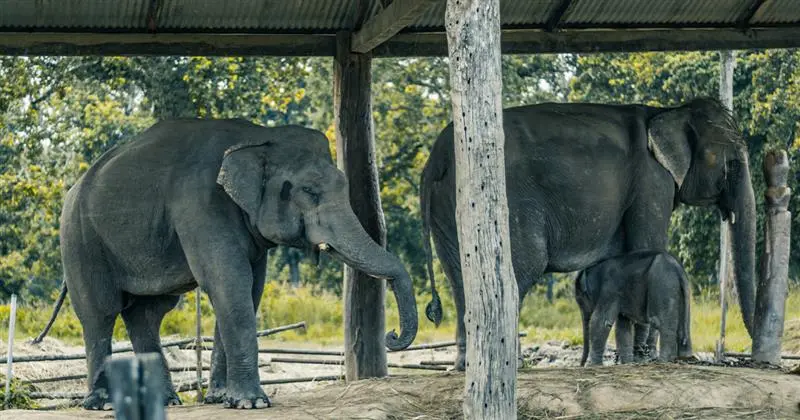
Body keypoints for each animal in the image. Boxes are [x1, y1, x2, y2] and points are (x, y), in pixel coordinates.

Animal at [34, 119, 418, 409]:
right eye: (309, 191)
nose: (392, 336)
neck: (257, 137)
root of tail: (74, 186)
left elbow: (249, 288)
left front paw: (221, 399)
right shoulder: (201, 205)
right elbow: (227, 282)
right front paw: (253, 403)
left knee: (147, 313)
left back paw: (165, 402)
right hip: (80, 238)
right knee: (100, 312)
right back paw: (103, 404)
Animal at [421, 97, 755, 370]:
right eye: (731, 162)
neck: (667, 111)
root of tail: (435, 158)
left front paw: (629, 359)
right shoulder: (652, 181)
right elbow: (648, 242)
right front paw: (643, 358)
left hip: (446, 205)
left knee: (459, 278)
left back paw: (464, 366)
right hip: (504, 200)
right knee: (520, 269)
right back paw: (511, 365)